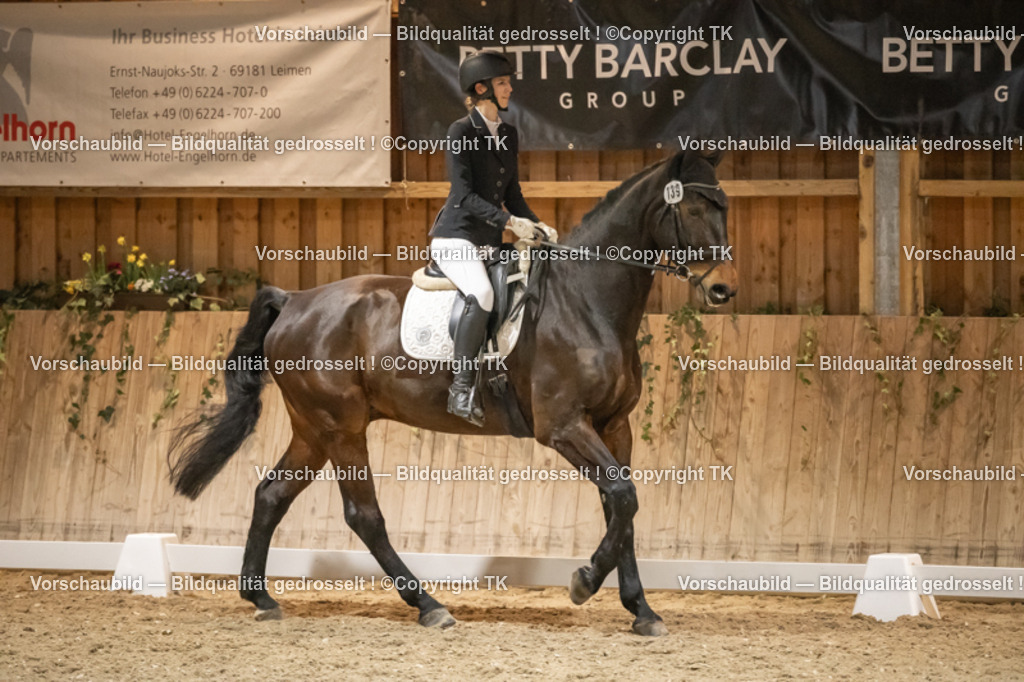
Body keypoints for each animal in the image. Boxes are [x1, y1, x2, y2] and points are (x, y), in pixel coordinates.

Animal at [169, 149, 738, 636]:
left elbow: (622, 507)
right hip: (340, 427)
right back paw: (428, 605)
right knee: (363, 516)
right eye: (692, 205)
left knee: (272, 494)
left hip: (314, 429)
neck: (586, 301)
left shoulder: (613, 426)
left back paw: (261, 597)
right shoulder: (564, 427)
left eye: (724, 204)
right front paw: (584, 582)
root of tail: (294, 301)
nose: (724, 289)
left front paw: (641, 610)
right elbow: (623, 496)